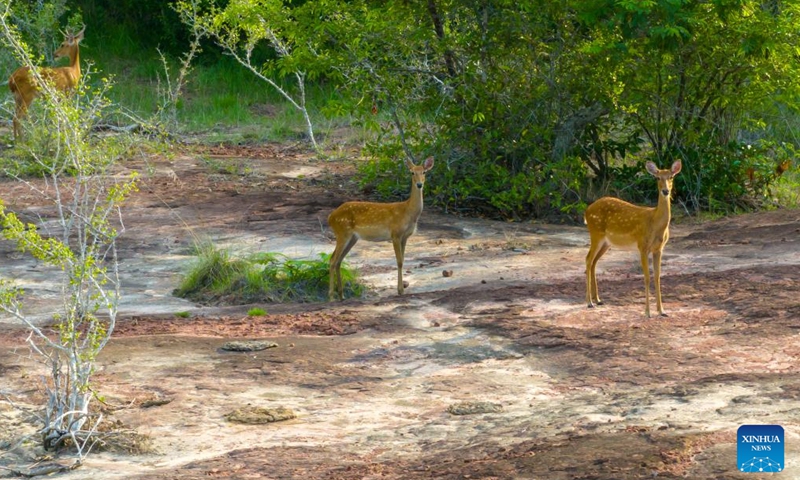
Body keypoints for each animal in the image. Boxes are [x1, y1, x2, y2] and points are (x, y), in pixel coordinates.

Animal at [328, 157, 434, 300]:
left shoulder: (405, 236)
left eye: (424, 172)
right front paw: (400, 290)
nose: (419, 184)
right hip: (342, 232)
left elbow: (403, 260)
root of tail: (330, 217)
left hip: (352, 237)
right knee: (333, 260)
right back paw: (331, 297)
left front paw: (401, 290)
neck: (408, 212)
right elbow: (399, 261)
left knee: (338, 260)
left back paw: (341, 295)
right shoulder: (395, 234)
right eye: (412, 172)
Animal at [580, 160, 680, 318]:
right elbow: (647, 277)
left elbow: (657, 277)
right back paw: (589, 302)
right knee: (588, 259)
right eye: (657, 178)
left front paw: (662, 311)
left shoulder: (658, 249)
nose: (665, 191)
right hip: (596, 233)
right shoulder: (642, 246)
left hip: (607, 242)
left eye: (671, 176)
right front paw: (647, 312)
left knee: (594, 261)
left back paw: (598, 300)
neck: (654, 222)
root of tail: (586, 211)